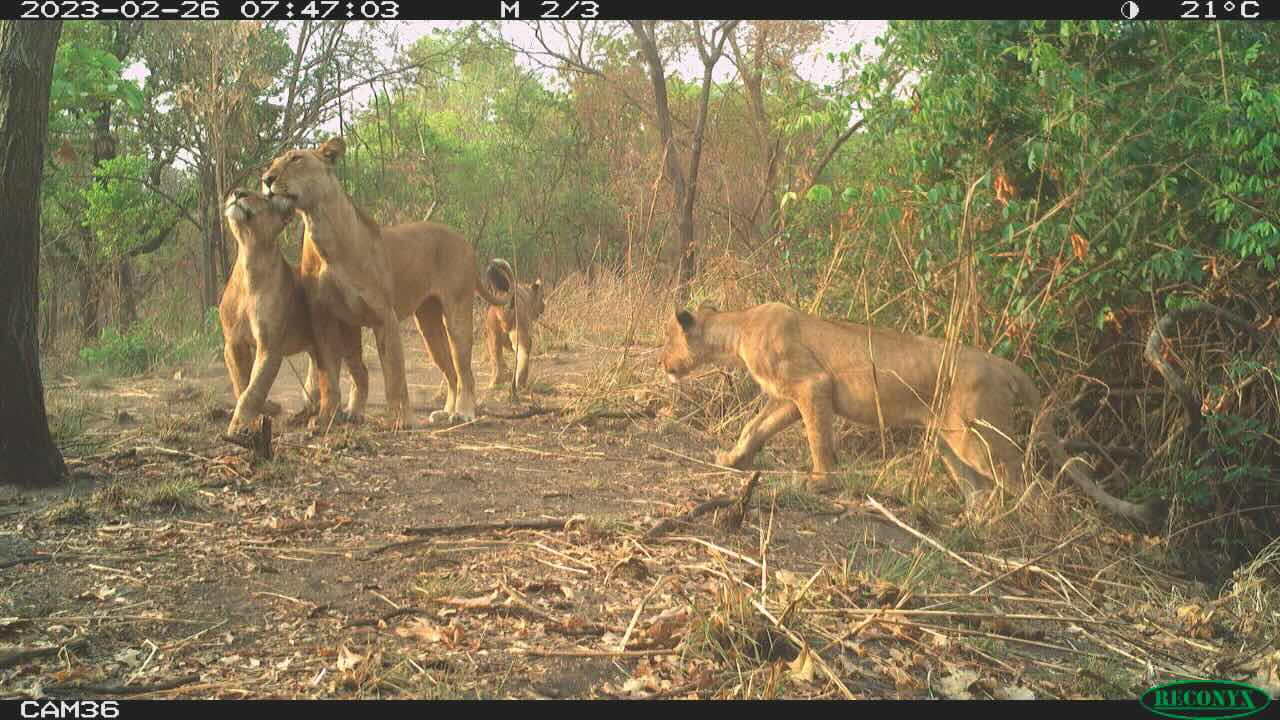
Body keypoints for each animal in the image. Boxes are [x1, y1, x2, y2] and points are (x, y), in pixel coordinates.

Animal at [217, 189, 367, 436]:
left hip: (348, 339)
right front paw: (265, 410)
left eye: (264, 198)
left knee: (360, 372)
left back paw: (353, 413)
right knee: (317, 377)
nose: (238, 192)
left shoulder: (270, 347)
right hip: (317, 347)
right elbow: (242, 384)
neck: (250, 262)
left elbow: (253, 390)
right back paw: (304, 415)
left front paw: (238, 427)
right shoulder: (233, 342)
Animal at [261, 137, 513, 427]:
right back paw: (445, 412)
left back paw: (464, 413)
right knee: (450, 371)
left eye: (295, 159)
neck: (322, 231)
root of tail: (466, 243)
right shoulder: (329, 318)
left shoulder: (384, 317)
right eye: (272, 163)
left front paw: (400, 421)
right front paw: (330, 417)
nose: (266, 179)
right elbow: (337, 375)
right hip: (428, 324)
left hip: (457, 313)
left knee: (464, 371)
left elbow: (394, 375)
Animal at [660, 302, 1164, 525]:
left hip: (977, 436)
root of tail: (1001, 362)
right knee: (979, 489)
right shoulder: (787, 397)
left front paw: (821, 481)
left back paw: (1028, 526)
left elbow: (818, 438)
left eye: (668, 339)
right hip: (948, 440)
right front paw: (733, 460)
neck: (738, 328)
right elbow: (755, 427)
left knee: (1027, 483)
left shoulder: (812, 385)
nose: (664, 364)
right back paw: (971, 523)